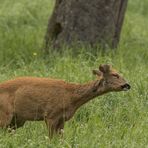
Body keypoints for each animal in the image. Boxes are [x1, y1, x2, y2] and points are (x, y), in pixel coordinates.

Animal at [0, 65, 130, 138]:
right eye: (115, 75)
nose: (127, 85)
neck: (71, 97)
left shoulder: (62, 118)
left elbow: (61, 139)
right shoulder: (50, 115)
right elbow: (51, 139)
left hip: (17, 120)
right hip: (5, 113)